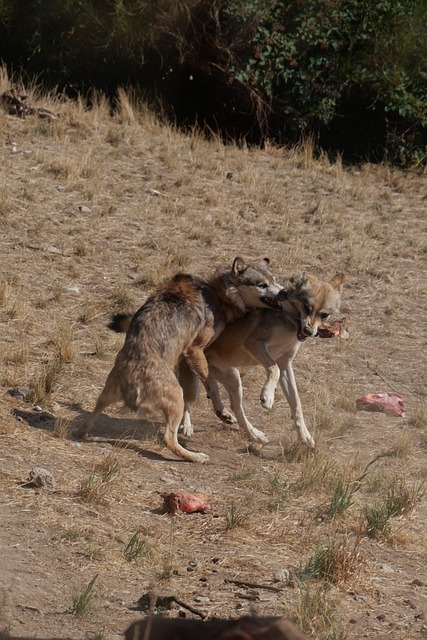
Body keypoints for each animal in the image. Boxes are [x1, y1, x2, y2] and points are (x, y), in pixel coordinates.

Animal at [75, 257, 283, 463]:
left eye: (274, 279)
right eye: (262, 285)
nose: (283, 292)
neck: (217, 292)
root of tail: (132, 380)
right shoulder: (195, 349)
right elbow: (212, 385)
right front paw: (222, 412)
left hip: (106, 396)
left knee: (89, 418)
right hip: (177, 399)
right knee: (169, 438)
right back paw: (197, 456)